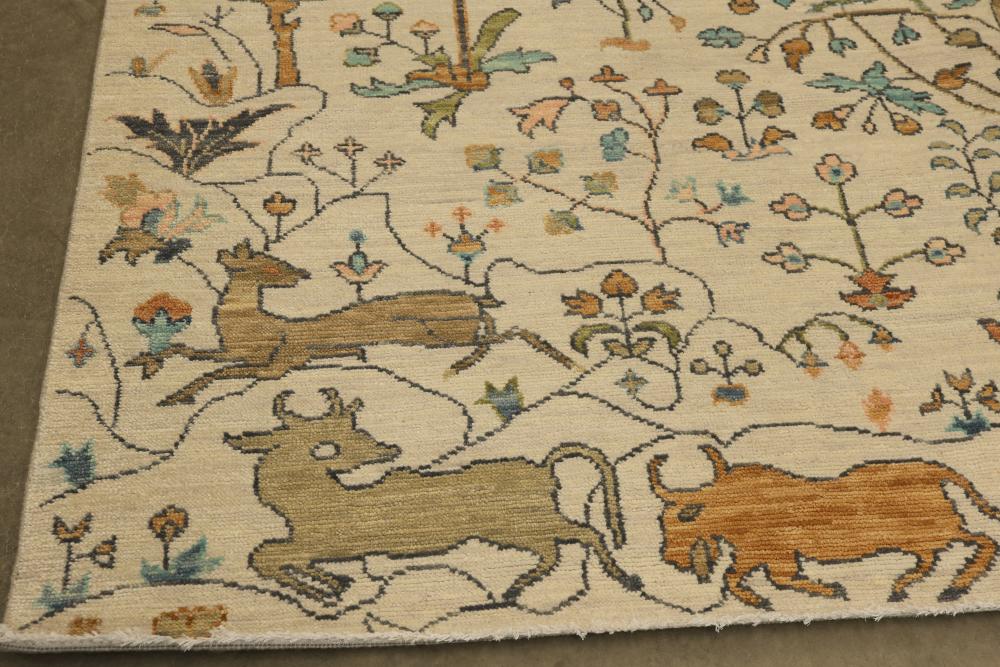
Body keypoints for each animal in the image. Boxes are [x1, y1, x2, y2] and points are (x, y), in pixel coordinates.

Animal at [125, 240, 578, 406]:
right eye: (269, 263)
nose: (301, 274)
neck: (251, 323)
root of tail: (472, 296)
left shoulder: (277, 365)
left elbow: (219, 373)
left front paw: (178, 395)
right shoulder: (230, 350)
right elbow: (189, 351)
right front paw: (148, 365)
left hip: (441, 334)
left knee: (507, 333)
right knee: (503, 330)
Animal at [224, 388, 642, 605]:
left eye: (356, 431)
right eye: (329, 447)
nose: (389, 448)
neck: (313, 502)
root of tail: (543, 469)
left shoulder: (329, 543)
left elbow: (266, 556)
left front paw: (323, 588)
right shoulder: (312, 544)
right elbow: (270, 555)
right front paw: (332, 584)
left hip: (518, 523)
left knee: (583, 534)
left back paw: (626, 577)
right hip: (517, 528)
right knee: (555, 549)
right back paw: (515, 588)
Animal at [647, 445, 1000, 609]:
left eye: (676, 520)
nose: (669, 557)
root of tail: (935, 471)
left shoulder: (772, 554)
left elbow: (759, 579)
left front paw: (832, 590)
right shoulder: (760, 556)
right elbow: (738, 579)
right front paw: (760, 600)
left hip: (939, 529)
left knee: (985, 541)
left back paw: (953, 587)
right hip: (923, 538)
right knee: (932, 559)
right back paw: (902, 587)